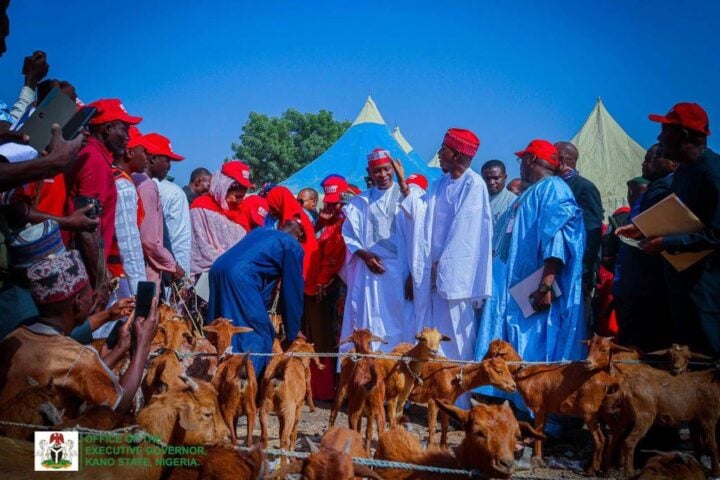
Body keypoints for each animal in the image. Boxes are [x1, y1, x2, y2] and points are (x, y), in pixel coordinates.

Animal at [484, 336, 632, 474]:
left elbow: (538, 431)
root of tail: (609, 379)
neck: (525, 374)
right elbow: (540, 432)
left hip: (590, 410)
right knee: (617, 429)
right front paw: (539, 458)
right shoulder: (545, 410)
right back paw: (613, 464)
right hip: (605, 409)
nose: (481, 362)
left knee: (601, 439)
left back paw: (592, 470)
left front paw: (537, 458)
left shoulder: (538, 408)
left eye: (492, 353)